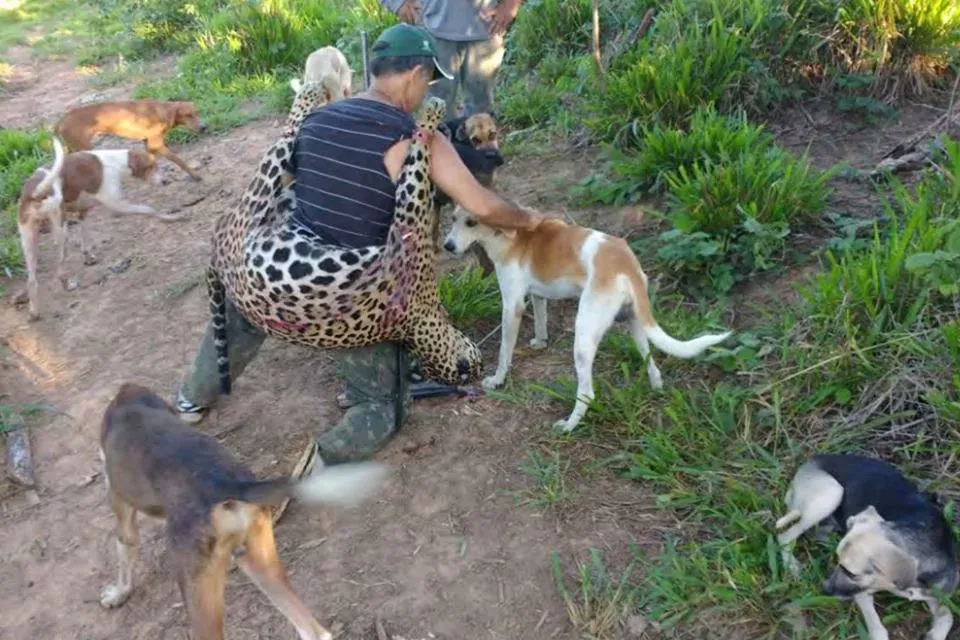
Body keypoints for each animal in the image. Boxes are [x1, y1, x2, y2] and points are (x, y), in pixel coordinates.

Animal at [14, 138, 177, 322]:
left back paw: (34, 312)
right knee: (59, 270)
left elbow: (86, 242)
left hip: (28, 241)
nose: (166, 181)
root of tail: (34, 191)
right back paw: (68, 285)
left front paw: (88, 258)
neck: (117, 163)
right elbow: (149, 210)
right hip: (62, 231)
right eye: (150, 166)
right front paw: (170, 217)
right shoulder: (118, 206)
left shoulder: (83, 213)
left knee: (32, 281)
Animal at [54, 100, 206, 180]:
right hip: (84, 148)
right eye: (188, 115)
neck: (161, 112)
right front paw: (195, 175)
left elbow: (152, 163)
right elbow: (179, 161)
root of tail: (62, 120)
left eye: (197, 113)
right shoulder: (156, 145)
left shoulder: (148, 145)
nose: (204, 127)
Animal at [99, 382, 392, 640]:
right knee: (314, 632)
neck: (129, 403)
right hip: (259, 560)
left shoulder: (121, 508)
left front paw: (117, 594)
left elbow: (124, 549)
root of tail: (224, 483)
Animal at [444, 208, 736, 432]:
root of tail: (625, 262)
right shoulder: (538, 296)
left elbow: (505, 350)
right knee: (651, 363)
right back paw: (656, 388)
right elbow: (541, 319)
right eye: (452, 218)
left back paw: (569, 425)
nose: (447, 246)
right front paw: (540, 341)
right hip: (635, 324)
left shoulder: (512, 306)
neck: (509, 236)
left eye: (471, 222)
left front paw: (497, 380)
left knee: (586, 392)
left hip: (584, 338)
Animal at [776, 452, 956, 640]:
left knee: (816, 533)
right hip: (831, 493)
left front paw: (935, 634)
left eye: (851, 573)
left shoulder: (938, 596)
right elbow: (877, 629)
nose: (824, 589)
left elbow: (947, 616)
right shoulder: (861, 592)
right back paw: (792, 565)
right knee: (785, 535)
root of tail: (812, 459)